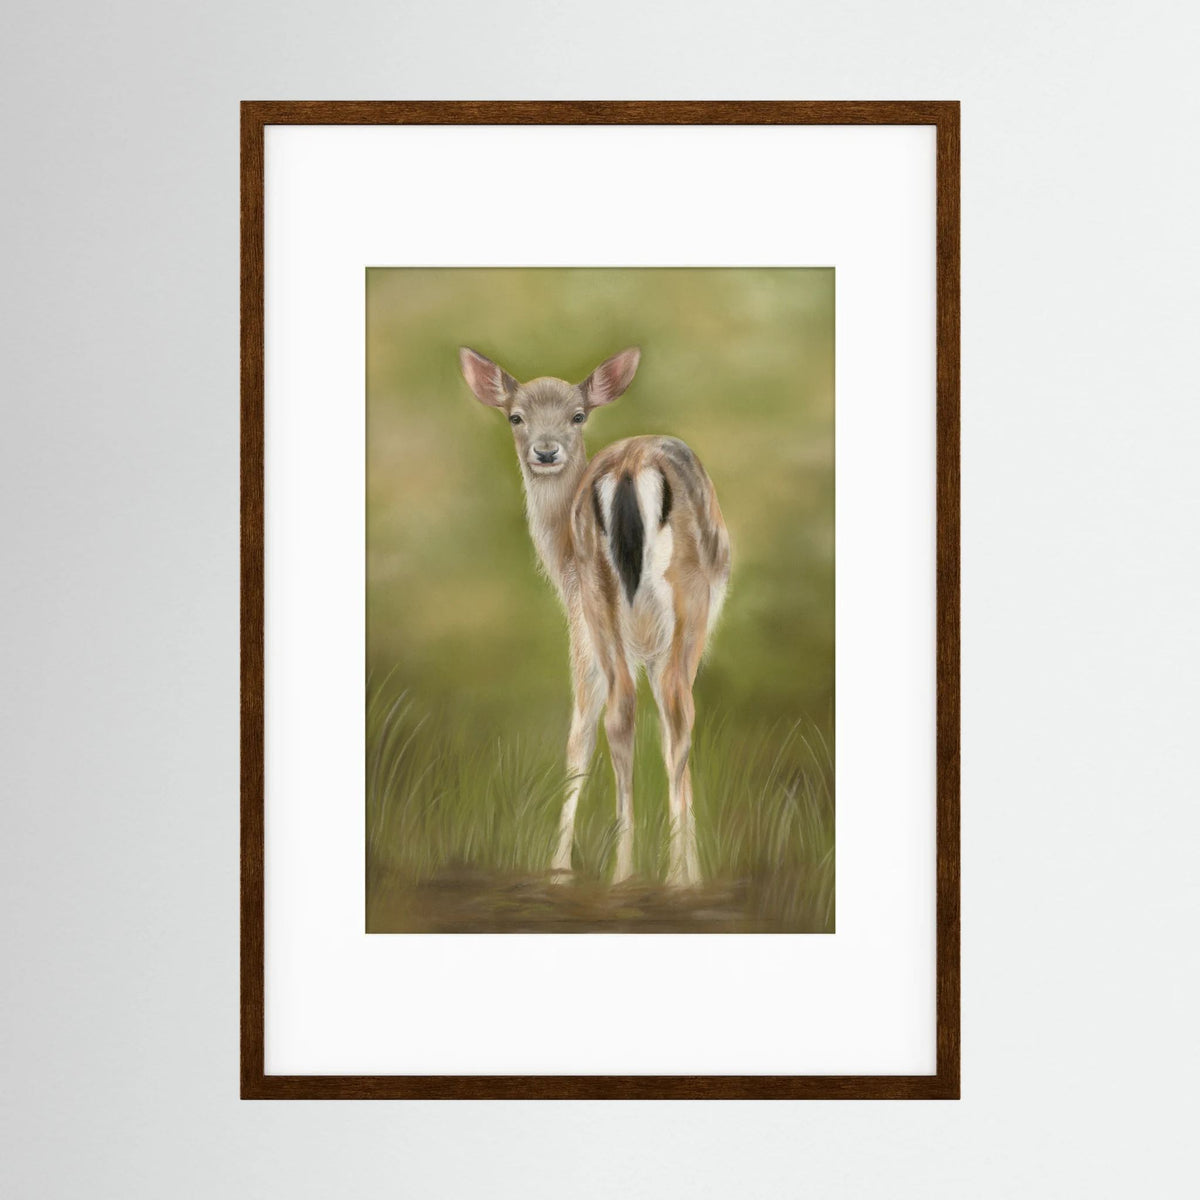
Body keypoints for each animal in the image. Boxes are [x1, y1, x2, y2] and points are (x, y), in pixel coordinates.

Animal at [459, 346, 731, 887]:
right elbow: (590, 732)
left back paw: (632, 872)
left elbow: (587, 731)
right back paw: (660, 877)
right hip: (671, 602)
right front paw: (562, 866)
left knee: (633, 710)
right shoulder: (593, 629)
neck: (558, 558)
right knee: (666, 711)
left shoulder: (593, 626)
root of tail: (628, 469)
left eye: (577, 415)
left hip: (607, 597)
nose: (545, 452)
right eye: (515, 416)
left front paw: (560, 867)